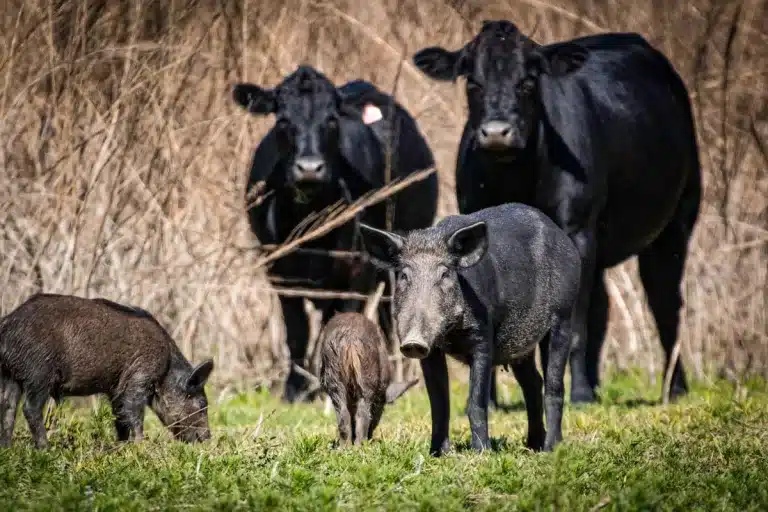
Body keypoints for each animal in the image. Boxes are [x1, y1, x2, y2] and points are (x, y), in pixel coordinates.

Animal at [232, 65, 438, 403]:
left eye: (331, 120)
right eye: (282, 120)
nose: (309, 168)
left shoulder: (357, 270)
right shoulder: (280, 272)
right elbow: (297, 333)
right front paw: (295, 390)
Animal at [412, 20, 702, 404]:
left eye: (528, 82)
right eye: (473, 82)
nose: (496, 133)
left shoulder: (576, 230)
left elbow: (574, 323)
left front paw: (576, 393)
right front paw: (490, 397)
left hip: (675, 222)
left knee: (665, 304)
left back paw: (673, 388)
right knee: (603, 306)